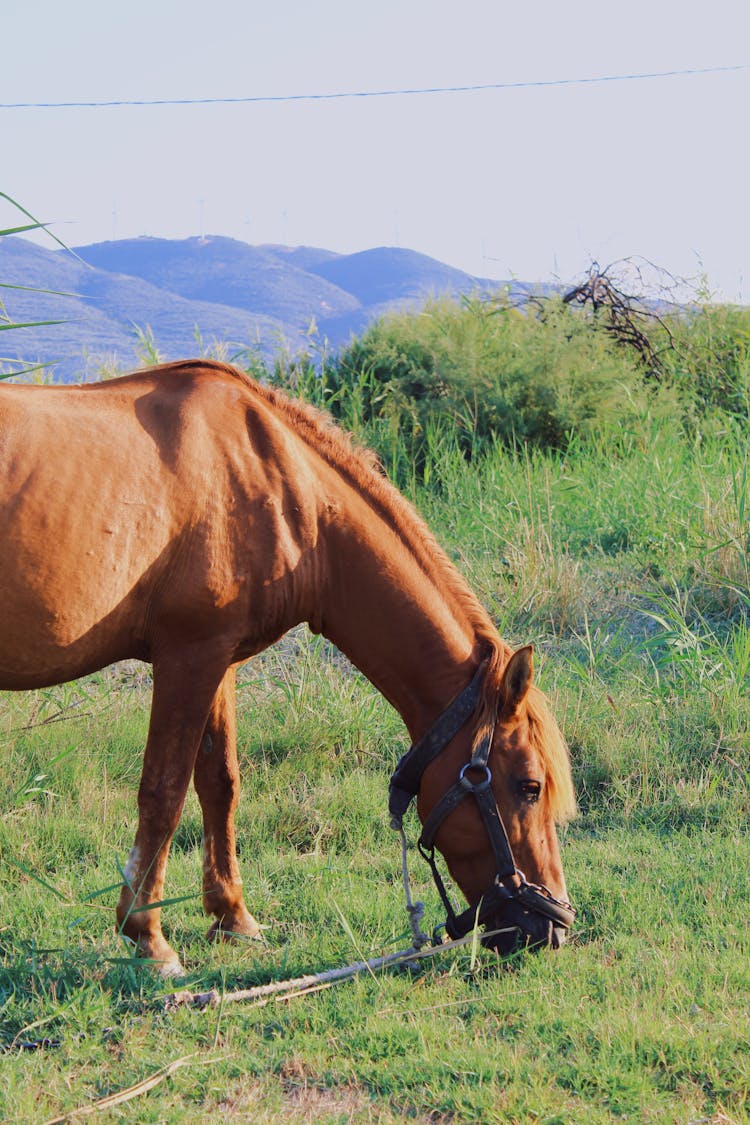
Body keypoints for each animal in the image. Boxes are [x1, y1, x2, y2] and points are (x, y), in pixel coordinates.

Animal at [0, 362, 575, 976]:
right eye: (529, 786)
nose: (553, 927)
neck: (275, 478)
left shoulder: (219, 662)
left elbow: (219, 782)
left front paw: (233, 918)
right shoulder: (188, 656)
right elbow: (164, 792)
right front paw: (147, 939)